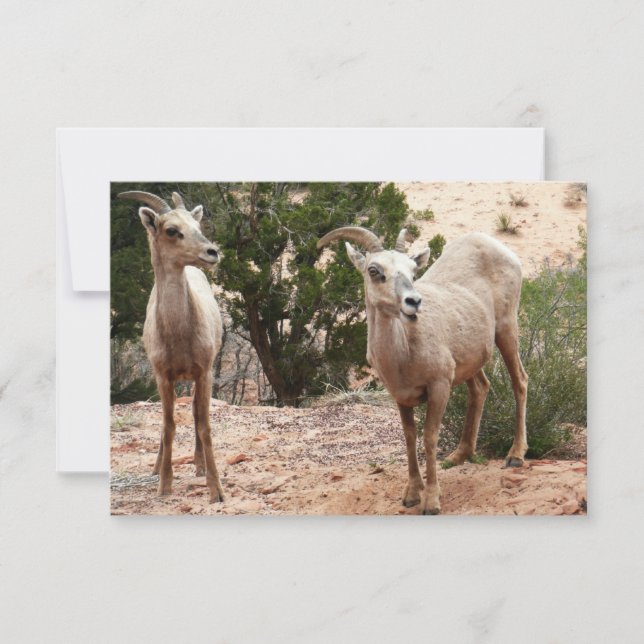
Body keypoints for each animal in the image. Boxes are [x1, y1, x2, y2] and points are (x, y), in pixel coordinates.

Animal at [118, 191, 225, 502]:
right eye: (171, 230)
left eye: (197, 224)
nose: (212, 252)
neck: (179, 335)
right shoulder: (162, 375)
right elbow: (168, 426)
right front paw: (164, 485)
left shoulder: (204, 371)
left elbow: (204, 424)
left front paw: (216, 489)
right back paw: (156, 468)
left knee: (197, 413)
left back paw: (199, 466)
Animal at [317, 227, 528, 515]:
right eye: (374, 270)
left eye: (412, 271)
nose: (413, 302)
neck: (403, 353)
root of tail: (494, 245)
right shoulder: (401, 397)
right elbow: (409, 438)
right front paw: (411, 495)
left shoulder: (439, 387)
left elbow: (429, 437)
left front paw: (431, 502)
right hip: (471, 359)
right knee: (481, 388)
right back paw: (458, 456)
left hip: (506, 330)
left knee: (520, 381)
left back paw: (515, 456)